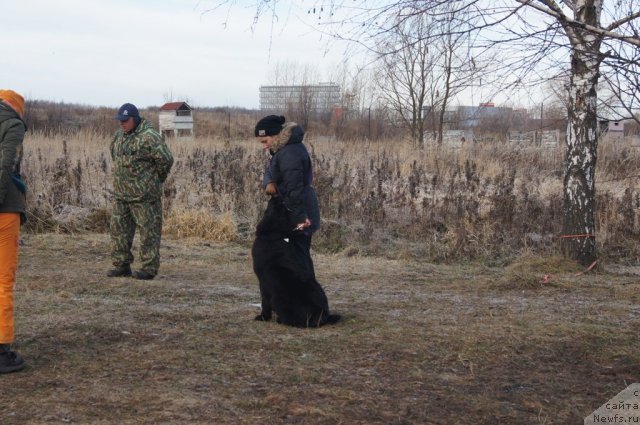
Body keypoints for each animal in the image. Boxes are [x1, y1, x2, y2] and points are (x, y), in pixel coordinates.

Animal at [251, 196, 342, 328]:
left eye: (278, 206)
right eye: (284, 207)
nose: (278, 197)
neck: (275, 234)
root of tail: (321, 313)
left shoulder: (262, 282)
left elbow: (265, 303)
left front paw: (263, 317)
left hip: (278, 300)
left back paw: (281, 320)